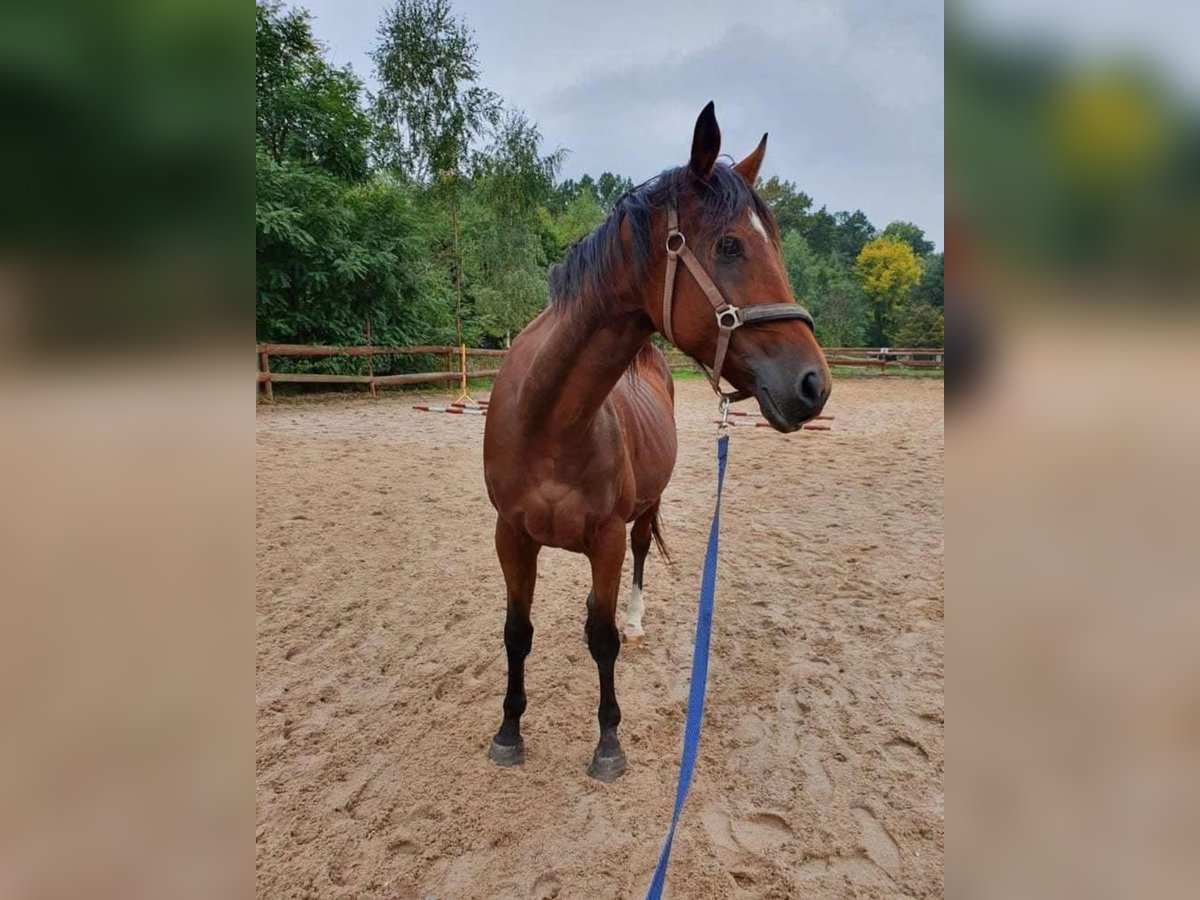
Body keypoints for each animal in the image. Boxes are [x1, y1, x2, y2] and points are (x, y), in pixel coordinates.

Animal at [482, 103, 830, 782]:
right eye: (729, 244)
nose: (813, 385)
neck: (549, 420)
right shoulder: (511, 536)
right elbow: (517, 632)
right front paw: (509, 732)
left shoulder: (606, 540)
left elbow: (603, 638)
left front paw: (608, 744)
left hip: (642, 513)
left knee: (642, 560)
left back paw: (637, 620)